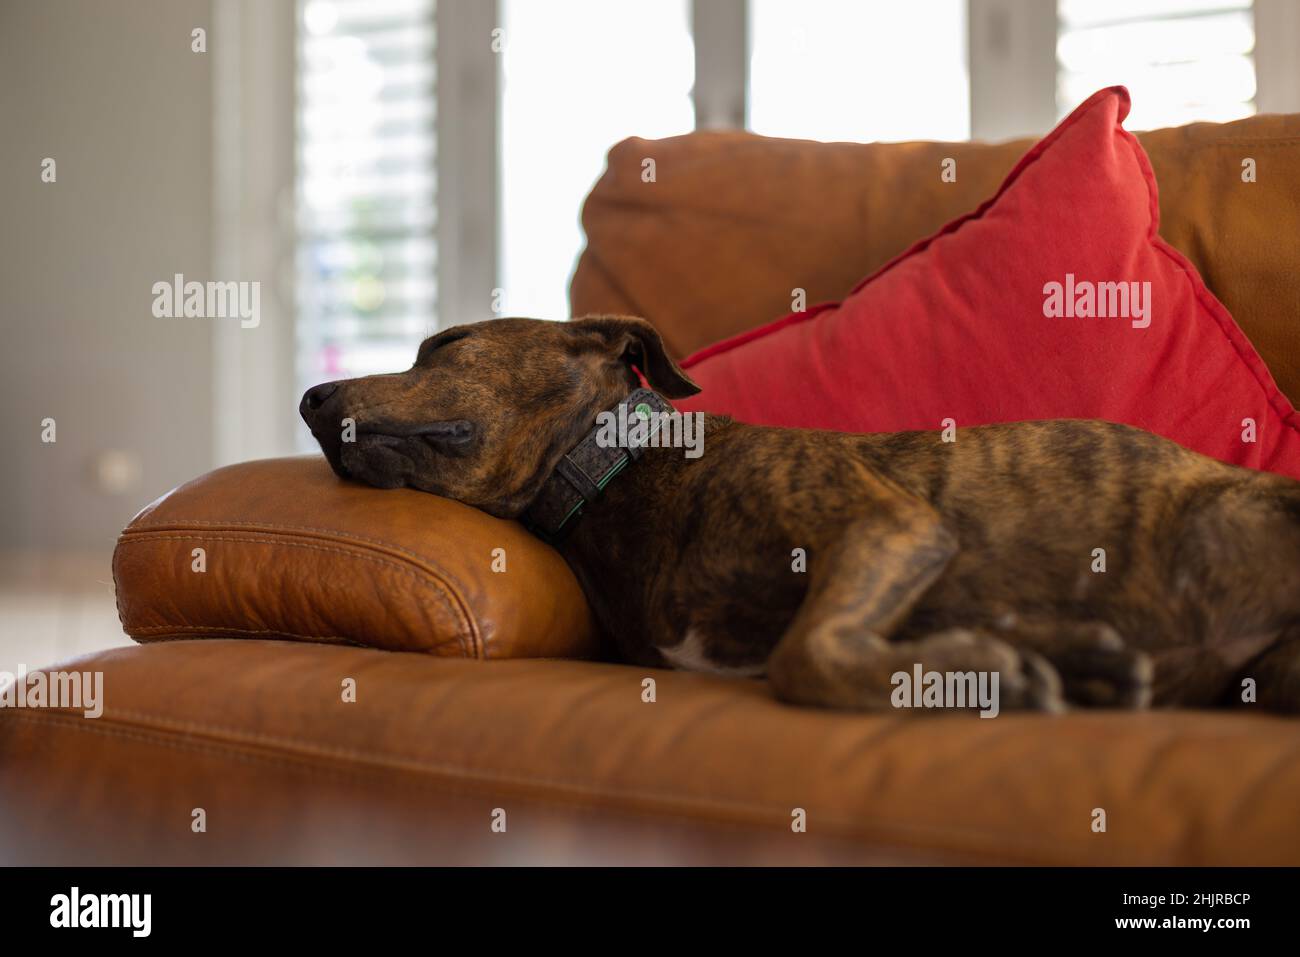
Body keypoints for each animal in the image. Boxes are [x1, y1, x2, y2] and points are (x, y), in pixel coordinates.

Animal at [299, 314, 1300, 712]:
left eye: (446, 345)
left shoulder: (887, 526)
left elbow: (806, 653)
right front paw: (1055, 661)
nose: (310, 399)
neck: (619, 470)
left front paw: (985, 675)